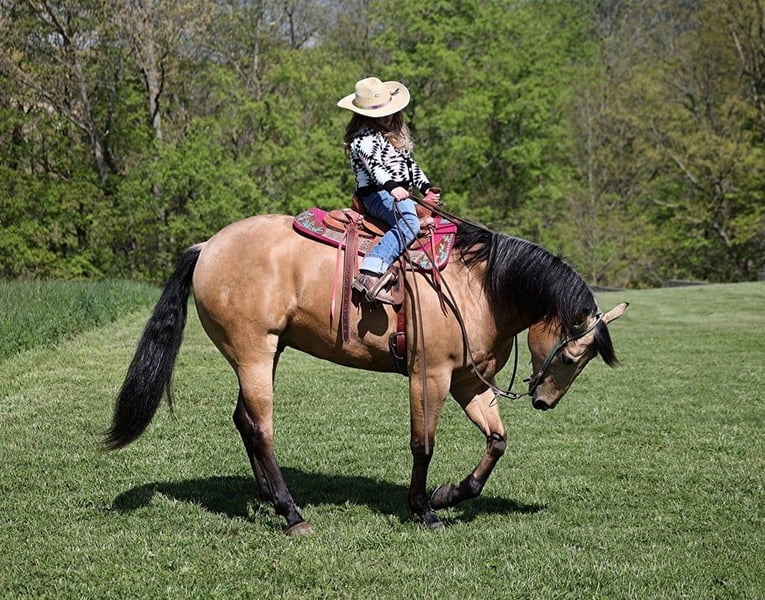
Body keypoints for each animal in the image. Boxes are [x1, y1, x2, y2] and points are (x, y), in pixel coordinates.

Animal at [105, 213, 628, 535]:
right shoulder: (429, 376)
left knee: (244, 422)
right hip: (253, 353)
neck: (477, 286)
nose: (543, 401)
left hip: (267, 353)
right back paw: (291, 513)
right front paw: (423, 510)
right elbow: (423, 445)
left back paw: (268, 497)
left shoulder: (467, 381)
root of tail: (208, 245)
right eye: (570, 357)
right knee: (261, 428)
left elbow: (497, 441)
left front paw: (448, 494)